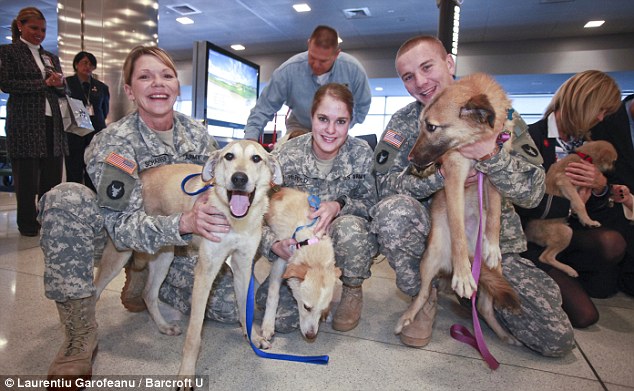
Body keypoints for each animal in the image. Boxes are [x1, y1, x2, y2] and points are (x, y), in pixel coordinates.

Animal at [93, 140, 282, 380]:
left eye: (256, 158)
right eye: (229, 156)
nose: (239, 178)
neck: (235, 220)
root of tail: (140, 179)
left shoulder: (243, 267)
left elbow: (243, 309)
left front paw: (253, 338)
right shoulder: (205, 273)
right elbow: (194, 335)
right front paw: (186, 373)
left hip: (164, 255)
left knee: (149, 293)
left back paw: (163, 326)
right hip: (119, 252)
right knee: (95, 291)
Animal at [392, 73, 520, 346]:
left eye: (431, 127)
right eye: (420, 125)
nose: (410, 161)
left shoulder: (494, 173)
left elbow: (494, 214)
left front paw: (492, 245)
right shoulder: (454, 177)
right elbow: (458, 229)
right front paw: (462, 275)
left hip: (494, 275)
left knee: (483, 306)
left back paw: (502, 333)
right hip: (430, 259)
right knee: (423, 292)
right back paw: (407, 318)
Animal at [520, 139, 616, 278]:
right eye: (613, 161)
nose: (614, 171)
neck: (585, 157)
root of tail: (529, 235)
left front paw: (583, 219)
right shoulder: (564, 180)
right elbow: (579, 204)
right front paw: (589, 220)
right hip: (566, 232)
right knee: (545, 257)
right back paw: (569, 270)